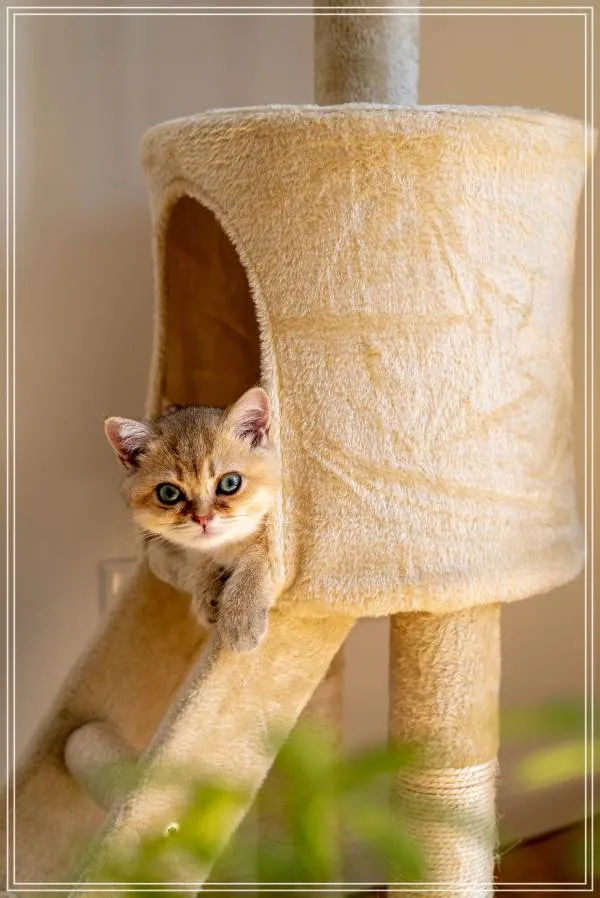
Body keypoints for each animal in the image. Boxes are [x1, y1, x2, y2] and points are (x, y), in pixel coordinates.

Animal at [104, 387, 279, 652]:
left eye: (230, 483)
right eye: (168, 493)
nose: (203, 518)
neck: (222, 549)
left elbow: (257, 555)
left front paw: (240, 614)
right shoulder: (159, 552)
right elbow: (193, 558)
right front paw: (206, 591)